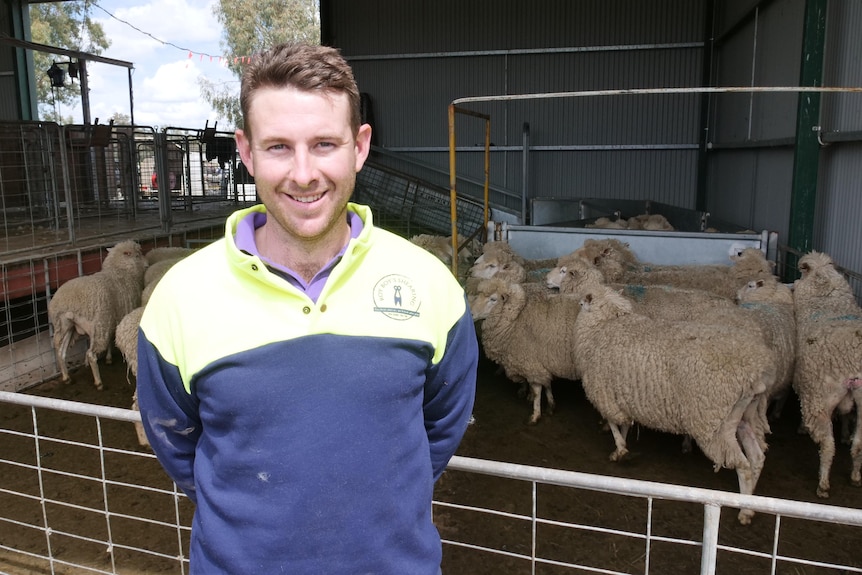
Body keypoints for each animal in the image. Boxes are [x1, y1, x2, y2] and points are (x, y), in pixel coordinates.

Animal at [47, 238, 148, 392]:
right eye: (137, 255)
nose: (147, 264)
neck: (120, 271)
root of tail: (71, 304)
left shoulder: (113, 319)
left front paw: (108, 358)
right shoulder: (115, 318)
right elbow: (111, 339)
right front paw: (109, 358)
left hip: (65, 325)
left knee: (59, 349)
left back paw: (66, 377)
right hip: (99, 325)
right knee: (91, 354)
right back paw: (98, 382)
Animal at [470, 276, 584, 426]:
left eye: (493, 299)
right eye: (478, 295)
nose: (470, 313)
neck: (515, 318)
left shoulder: (530, 361)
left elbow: (537, 390)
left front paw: (535, 415)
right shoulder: (540, 361)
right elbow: (546, 384)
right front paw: (551, 405)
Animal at [572, 286, 776, 524]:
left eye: (581, 304)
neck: (604, 324)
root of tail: (759, 370)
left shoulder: (605, 393)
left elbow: (614, 423)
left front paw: (620, 449)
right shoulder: (622, 395)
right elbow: (624, 423)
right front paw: (624, 445)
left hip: (716, 423)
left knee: (743, 466)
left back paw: (743, 512)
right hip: (747, 415)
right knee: (757, 457)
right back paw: (751, 505)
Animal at [792, 252, 860, 500]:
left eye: (802, 273)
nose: (793, 285)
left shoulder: (806, 384)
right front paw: (845, 434)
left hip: (819, 398)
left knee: (827, 445)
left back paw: (823, 484)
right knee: (859, 444)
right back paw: (855, 477)